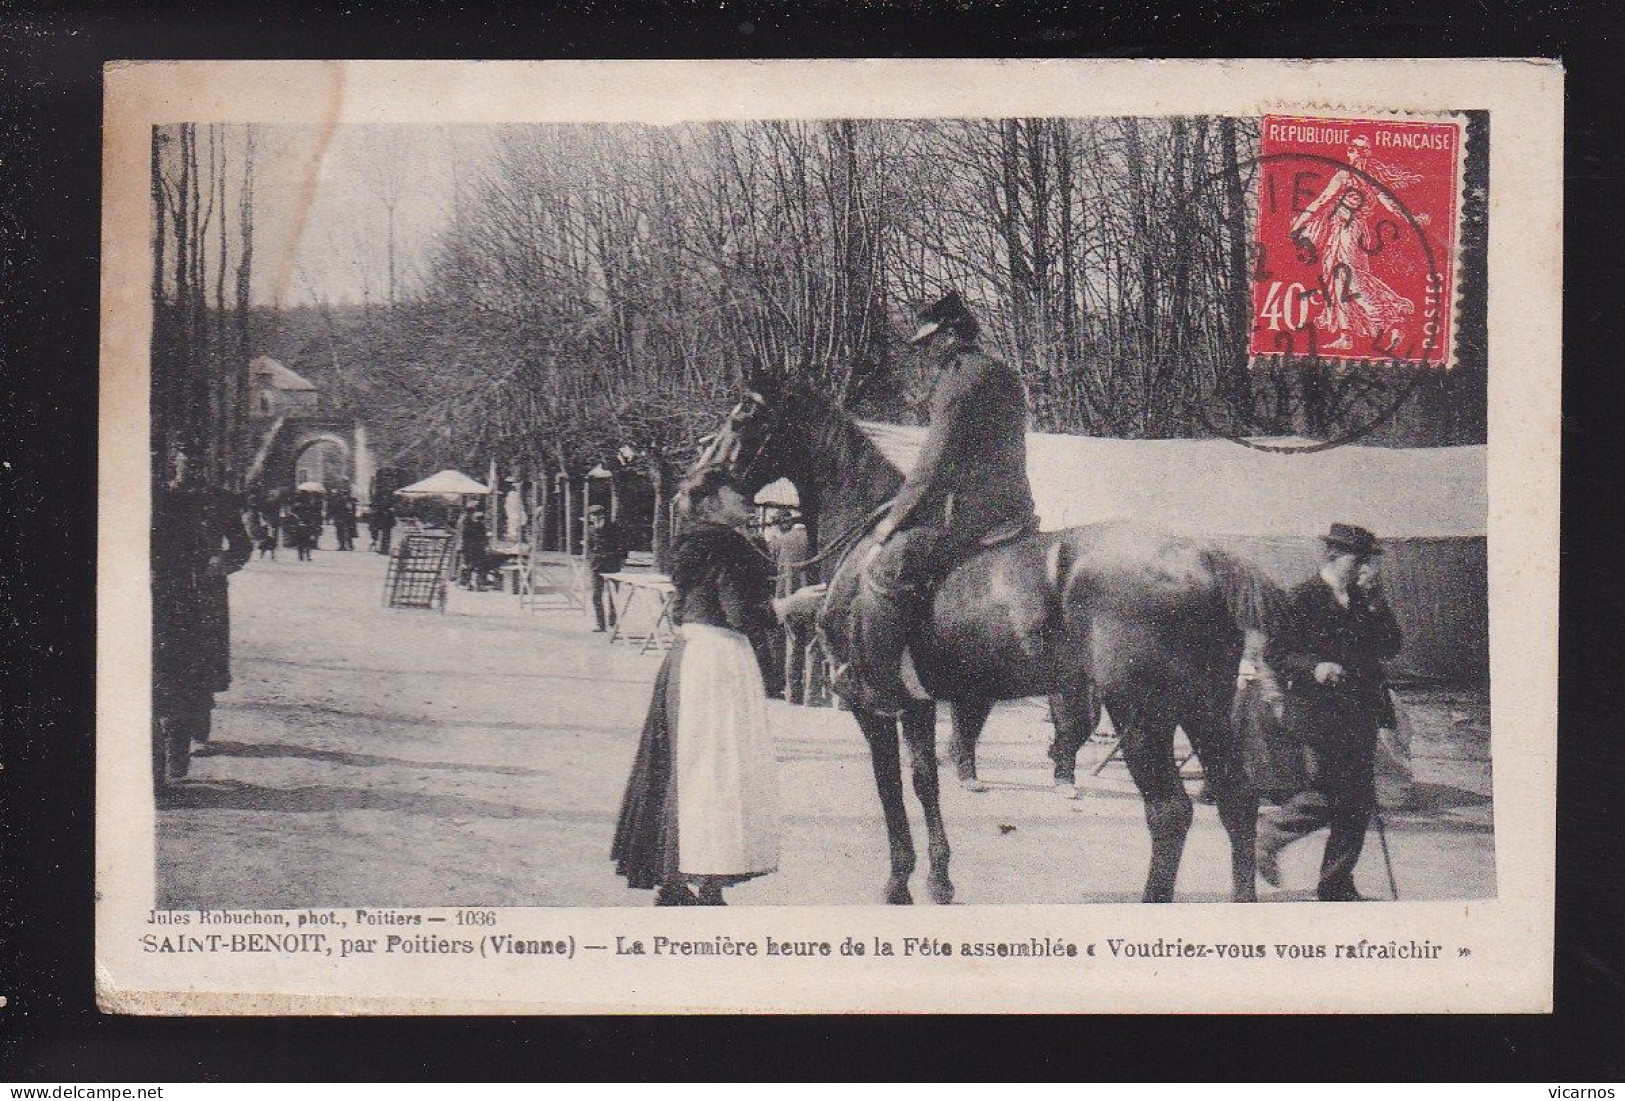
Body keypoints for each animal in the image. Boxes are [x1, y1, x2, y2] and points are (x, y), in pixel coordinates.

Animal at [698, 375, 1280, 909]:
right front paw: (938, 880)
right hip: (1203, 708)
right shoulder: (918, 704)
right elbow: (925, 781)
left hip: (1142, 714)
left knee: (1169, 812)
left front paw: (897, 884)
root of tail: (1206, 560)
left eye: (742, 416)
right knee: (1237, 800)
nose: (699, 480)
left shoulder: (873, 707)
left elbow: (890, 786)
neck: (865, 542)